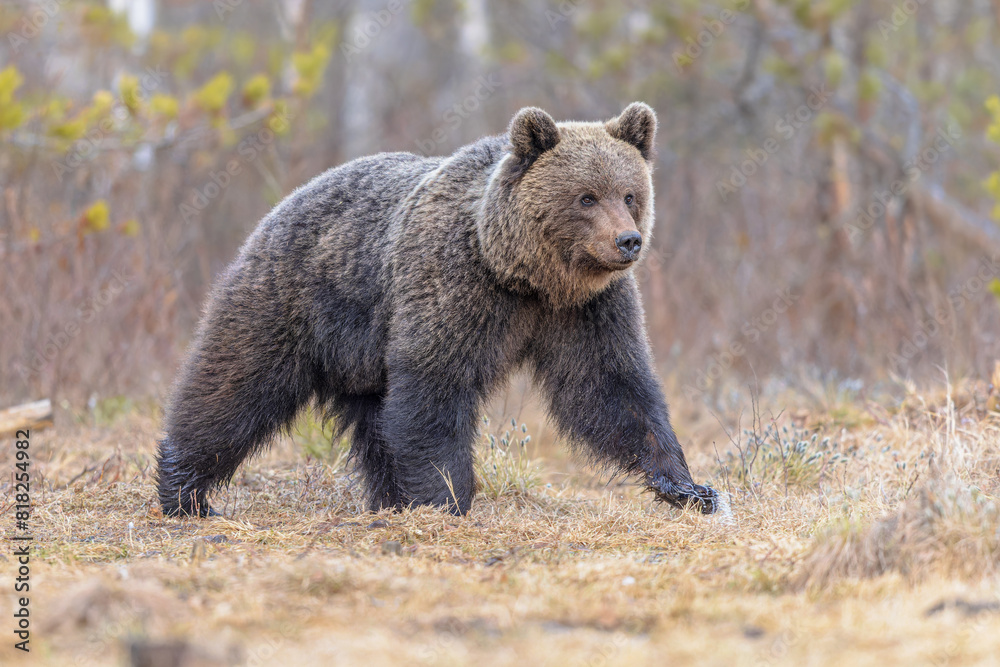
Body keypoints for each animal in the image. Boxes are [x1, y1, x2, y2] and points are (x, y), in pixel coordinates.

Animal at [154, 102, 720, 516]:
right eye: (586, 197)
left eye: (630, 193)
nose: (627, 241)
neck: (524, 275)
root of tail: (284, 202)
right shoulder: (454, 285)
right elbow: (436, 386)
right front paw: (447, 497)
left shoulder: (588, 309)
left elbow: (611, 387)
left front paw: (689, 487)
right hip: (294, 301)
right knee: (235, 386)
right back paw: (185, 490)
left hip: (364, 357)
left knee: (375, 423)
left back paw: (388, 500)